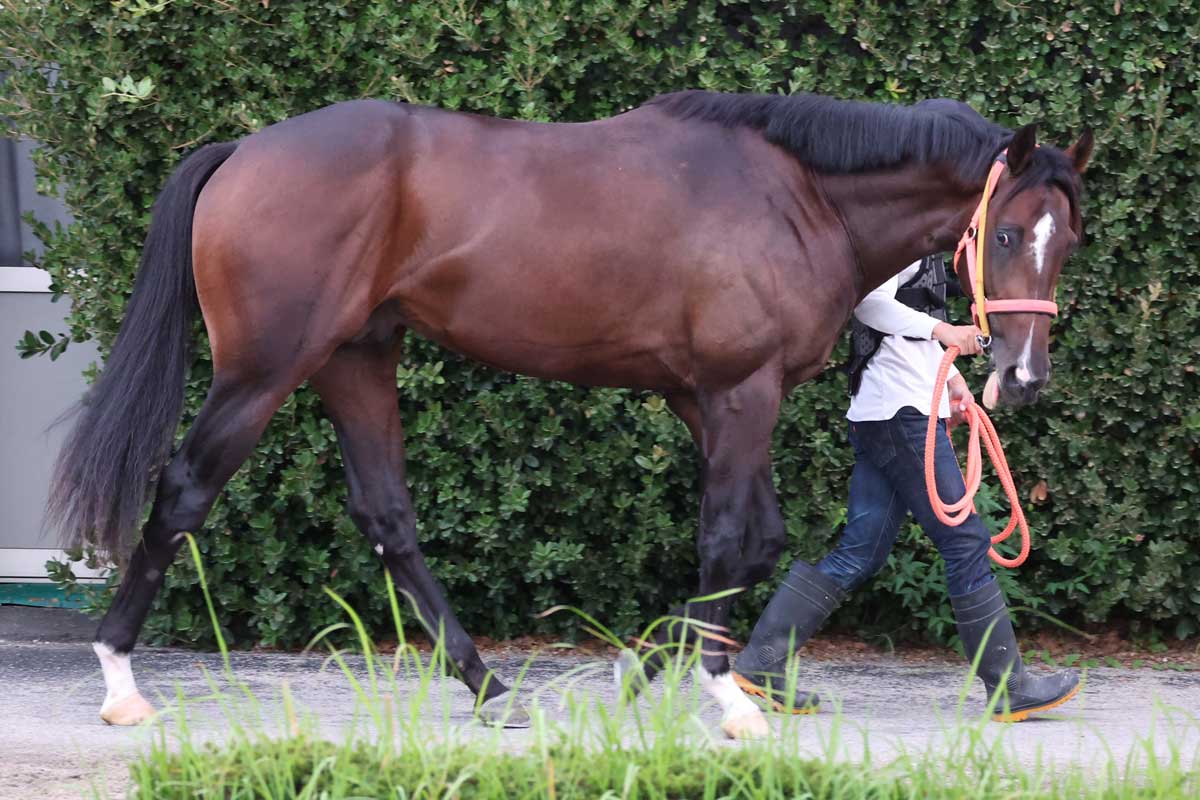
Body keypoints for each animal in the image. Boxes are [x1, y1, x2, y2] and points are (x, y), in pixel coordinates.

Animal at [49, 90, 1092, 739]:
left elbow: (757, 542)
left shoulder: (703, 398)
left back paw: (494, 688)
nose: (1022, 377)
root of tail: (244, 152)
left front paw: (653, 668)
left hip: (358, 360)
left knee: (388, 518)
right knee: (185, 490)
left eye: (1067, 236)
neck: (795, 196)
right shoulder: (739, 390)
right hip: (266, 369)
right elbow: (731, 542)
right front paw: (722, 696)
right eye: (1005, 233)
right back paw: (120, 682)